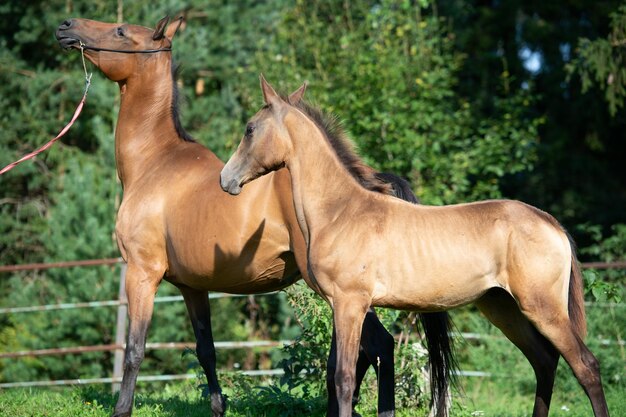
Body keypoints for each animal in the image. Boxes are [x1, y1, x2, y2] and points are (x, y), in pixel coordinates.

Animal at [54, 15, 448, 416]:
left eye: (120, 31)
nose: (67, 26)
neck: (155, 162)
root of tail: (369, 180)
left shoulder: (142, 273)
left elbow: (134, 349)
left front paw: (122, 408)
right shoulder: (192, 287)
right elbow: (207, 351)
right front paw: (217, 407)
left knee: (378, 347)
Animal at [219, 75, 608, 416]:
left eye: (250, 128)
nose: (226, 179)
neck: (340, 212)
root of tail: (551, 223)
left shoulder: (350, 304)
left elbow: (343, 379)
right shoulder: (342, 306)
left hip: (543, 308)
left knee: (586, 365)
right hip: (503, 307)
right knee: (544, 363)